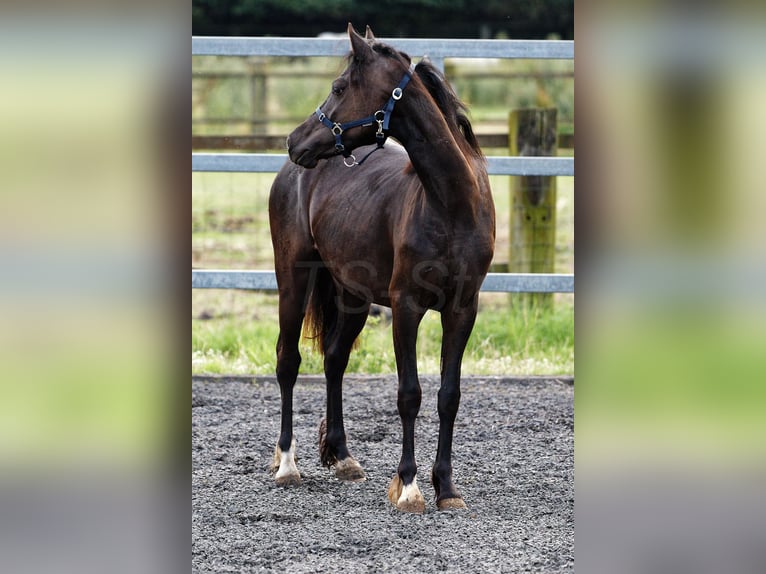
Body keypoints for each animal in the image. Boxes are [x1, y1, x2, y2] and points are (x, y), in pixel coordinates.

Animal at [270, 24, 498, 516]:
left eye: (339, 87)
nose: (295, 140)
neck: (451, 203)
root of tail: (290, 173)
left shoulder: (462, 309)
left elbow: (448, 396)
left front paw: (446, 488)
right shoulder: (406, 307)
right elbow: (409, 395)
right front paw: (409, 487)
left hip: (352, 295)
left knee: (334, 359)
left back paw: (343, 458)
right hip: (293, 279)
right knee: (288, 361)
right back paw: (286, 464)